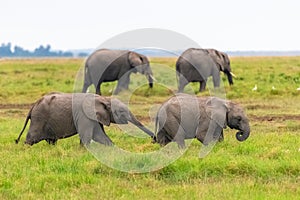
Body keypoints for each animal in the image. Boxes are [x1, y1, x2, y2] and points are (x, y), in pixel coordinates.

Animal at [14, 93, 155, 146]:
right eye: (121, 112)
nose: (154, 140)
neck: (103, 98)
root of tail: (32, 106)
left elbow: (100, 136)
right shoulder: (85, 116)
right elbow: (88, 136)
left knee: (51, 140)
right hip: (39, 118)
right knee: (32, 138)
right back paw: (26, 148)